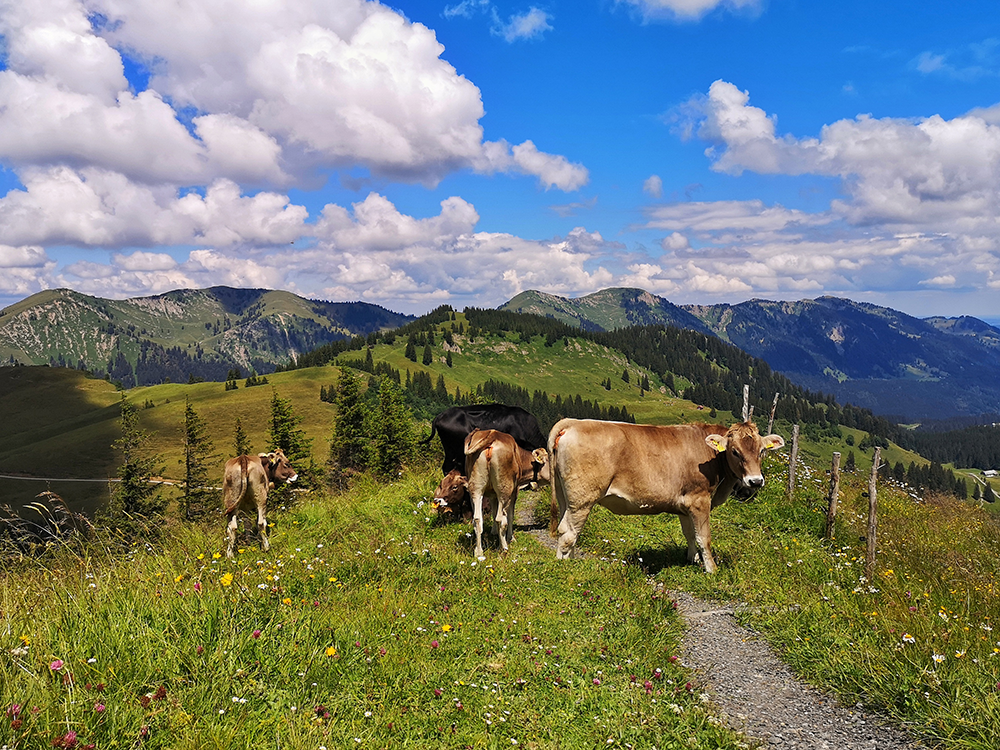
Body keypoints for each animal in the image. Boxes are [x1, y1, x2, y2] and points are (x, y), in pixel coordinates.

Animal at [464, 428, 552, 560]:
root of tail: (492, 434)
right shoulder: (514, 491)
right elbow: (510, 515)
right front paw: (511, 538)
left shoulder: (493, 494)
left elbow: (493, 512)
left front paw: (494, 532)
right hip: (505, 489)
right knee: (501, 518)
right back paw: (504, 548)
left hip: (475, 488)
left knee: (477, 519)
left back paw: (479, 552)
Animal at [552, 420, 784, 572]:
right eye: (735, 451)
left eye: (762, 451)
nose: (755, 481)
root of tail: (573, 423)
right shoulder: (699, 500)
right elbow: (704, 537)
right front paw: (712, 569)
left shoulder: (685, 505)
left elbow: (691, 534)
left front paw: (693, 560)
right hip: (582, 499)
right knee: (570, 532)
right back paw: (565, 567)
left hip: (565, 496)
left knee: (564, 528)